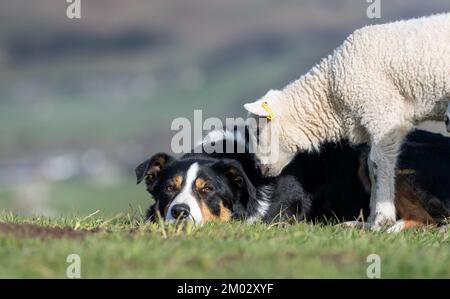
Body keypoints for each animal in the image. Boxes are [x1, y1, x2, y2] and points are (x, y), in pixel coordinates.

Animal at [244, 12, 450, 231]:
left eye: (258, 131)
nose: (259, 168)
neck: (332, 96)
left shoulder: (383, 114)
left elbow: (379, 166)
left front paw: (381, 220)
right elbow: (370, 165)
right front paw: (370, 221)